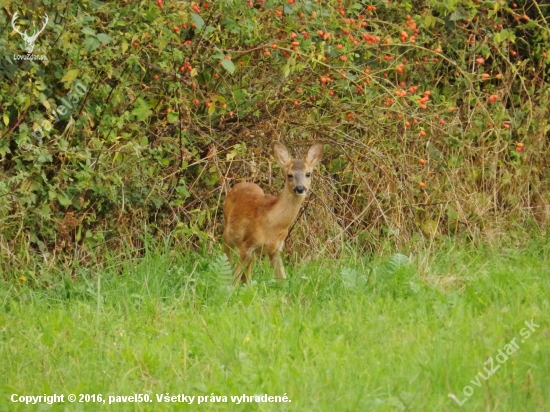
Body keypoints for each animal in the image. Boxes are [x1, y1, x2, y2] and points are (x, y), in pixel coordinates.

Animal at [223, 142, 324, 286]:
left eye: (308, 174)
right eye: (289, 175)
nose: (300, 188)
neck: (272, 224)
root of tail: (239, 184)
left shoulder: (276, 250)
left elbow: (283, 281)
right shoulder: (247, 244)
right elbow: (234, 281)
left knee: (247, 271)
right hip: (227, 235)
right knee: (227, 259)